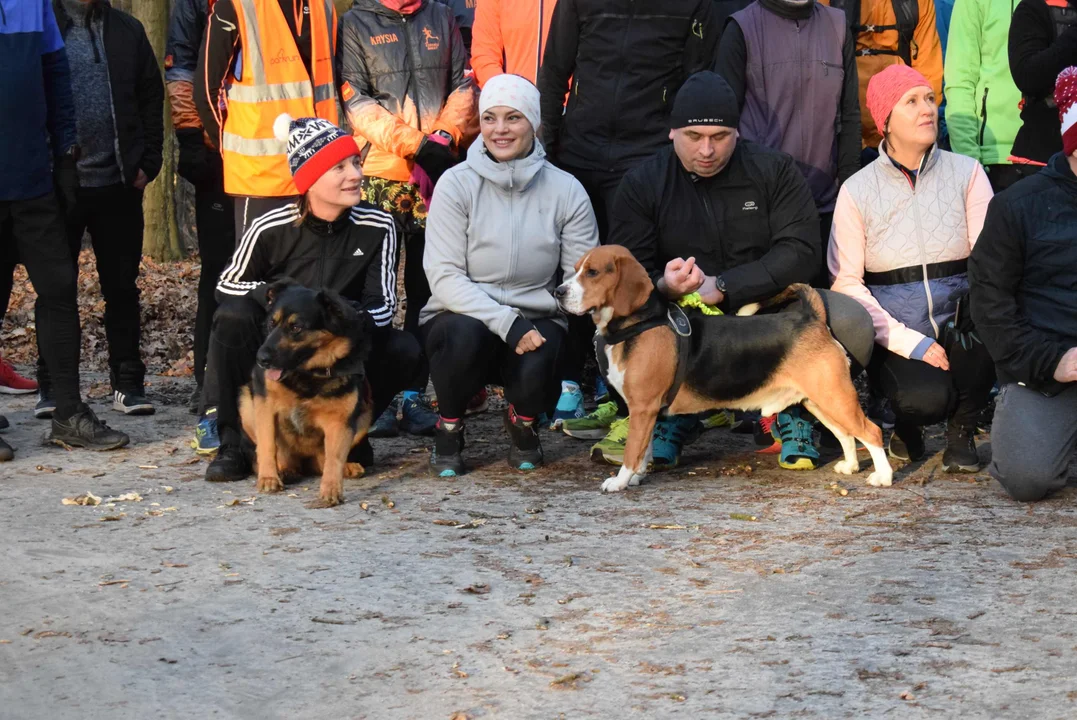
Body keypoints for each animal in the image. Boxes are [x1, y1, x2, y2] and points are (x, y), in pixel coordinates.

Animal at [239, 279, 374, 505]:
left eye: (296, 327)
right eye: (271, 324)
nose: (261, 359)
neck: (309, 373)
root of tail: (303, 462)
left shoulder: (340, 421)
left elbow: (334, 459)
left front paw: (331, 489)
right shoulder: (264, 405)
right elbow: (267, 445)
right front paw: (268, 478)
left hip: (365, 414)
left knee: (323, 461)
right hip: (246, 403)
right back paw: (283, 471)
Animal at [555, 244, 891, 490]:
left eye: (593, 272)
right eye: (575, 270)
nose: (558, 292)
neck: (639, 322)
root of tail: (812, 318)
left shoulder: (642, 407)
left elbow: (631, 451)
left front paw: (620, 481)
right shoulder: (647, 412)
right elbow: (643, 449)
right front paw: (637, 476)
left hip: (834, 396)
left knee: (871, 432)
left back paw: (883, 477)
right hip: (819, 400)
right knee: (846, 434)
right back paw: (850, 466)